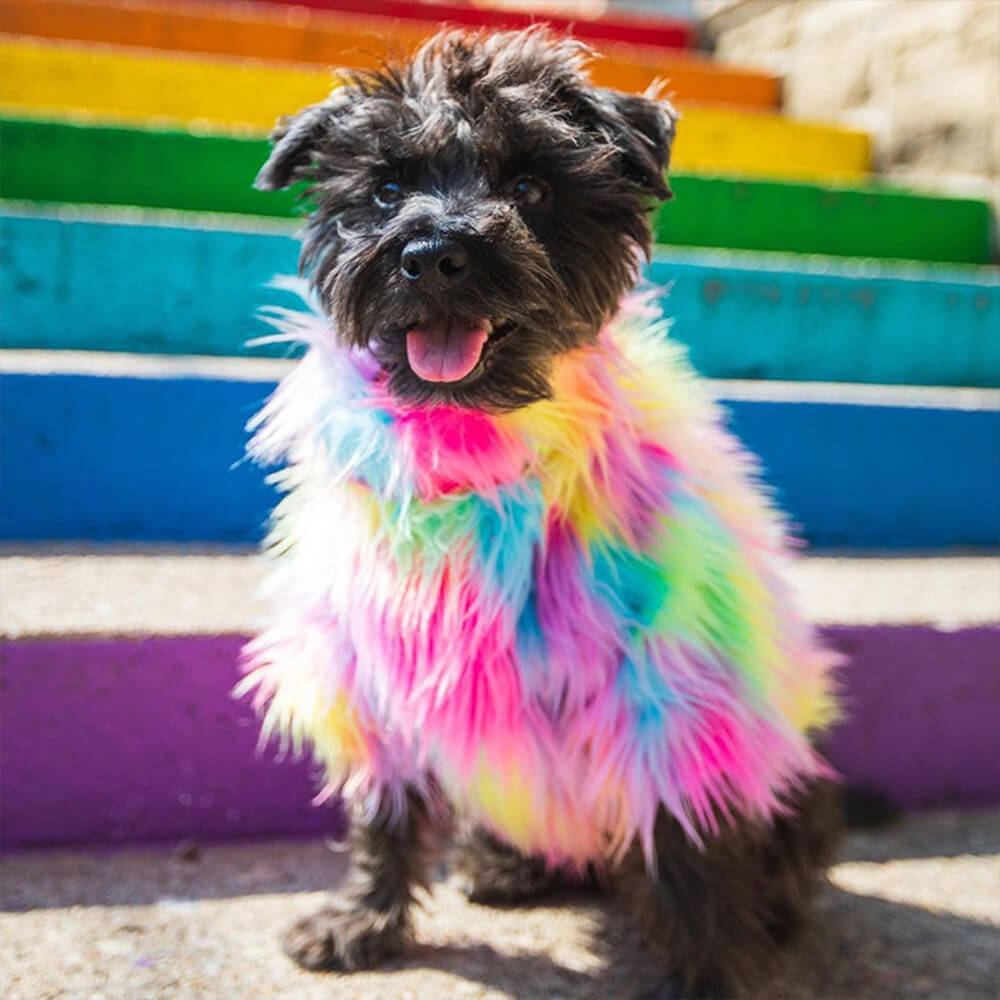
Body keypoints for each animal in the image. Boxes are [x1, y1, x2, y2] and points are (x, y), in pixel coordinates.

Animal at [244, 27, 844, 996]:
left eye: (531, 187)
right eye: (385, 188)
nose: (432, 253)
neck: (477, 447)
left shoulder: (668, 700)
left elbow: (689, 853)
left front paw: (711, 973)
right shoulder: (374, 670)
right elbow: (384, 812)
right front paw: (363, 918)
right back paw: (510, 863)